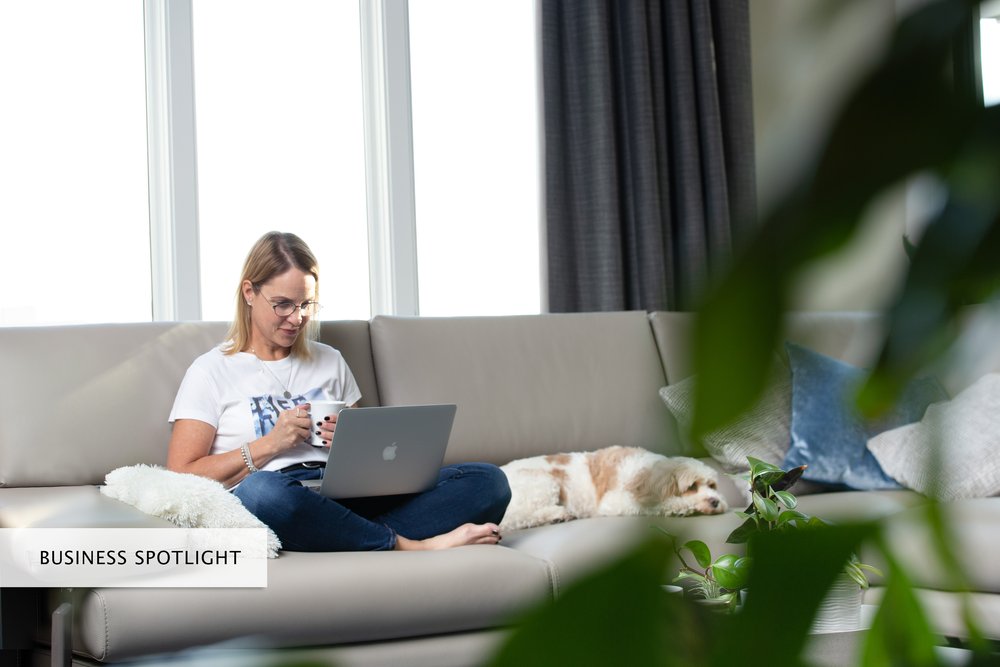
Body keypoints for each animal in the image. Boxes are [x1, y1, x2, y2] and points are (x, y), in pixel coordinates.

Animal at [498, 448, 728, 532]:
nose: (715, 501)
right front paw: (682, 506)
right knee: (515, 518)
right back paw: (558, 514)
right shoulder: (616, 501)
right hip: (543, 483)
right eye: (692, 486)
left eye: (712, 485)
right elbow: (659, 505)